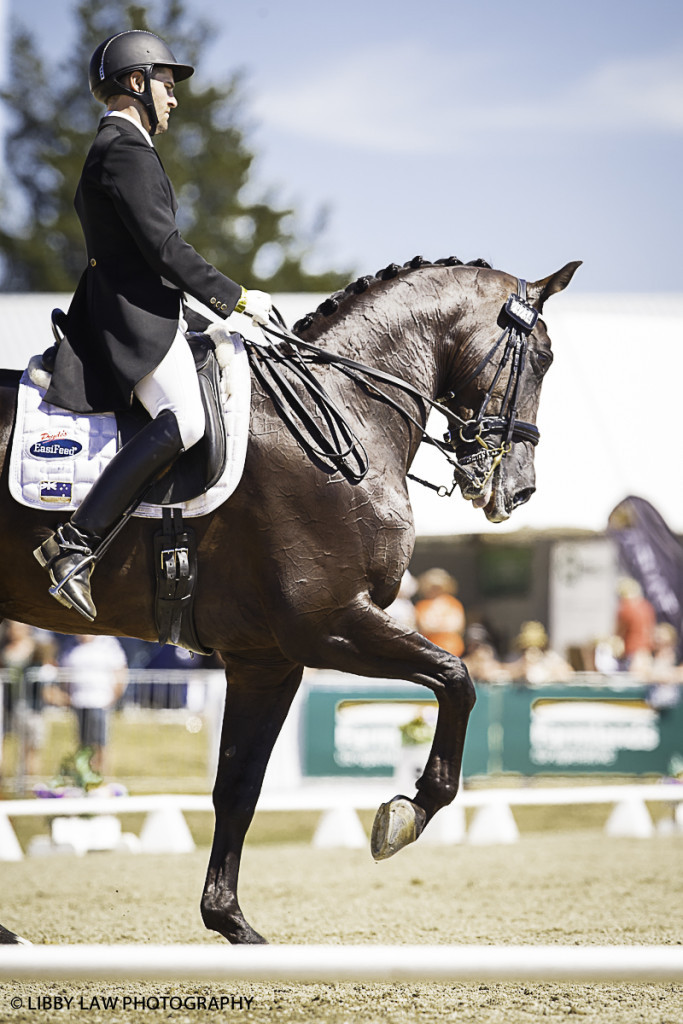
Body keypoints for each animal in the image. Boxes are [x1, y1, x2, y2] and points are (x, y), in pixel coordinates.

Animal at [0, 256, 581, 942]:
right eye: (541, 357)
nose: (517, 490)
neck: (344, 410)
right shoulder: (327, 624)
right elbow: (457, 677)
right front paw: (407, 813)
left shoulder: (267, 658)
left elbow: (238, 785)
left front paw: (229, 921)